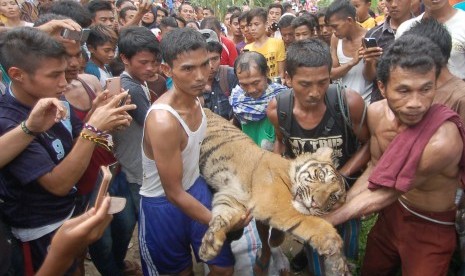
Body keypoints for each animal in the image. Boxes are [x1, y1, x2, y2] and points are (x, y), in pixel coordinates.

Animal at [198, 109, 348, 274]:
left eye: (333, 197)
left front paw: (209, 246)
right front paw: (337, 253)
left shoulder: (231, 198)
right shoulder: (279, 205)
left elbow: (222, 216)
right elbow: (313, 223)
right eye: (321, 176)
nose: (315, 203)